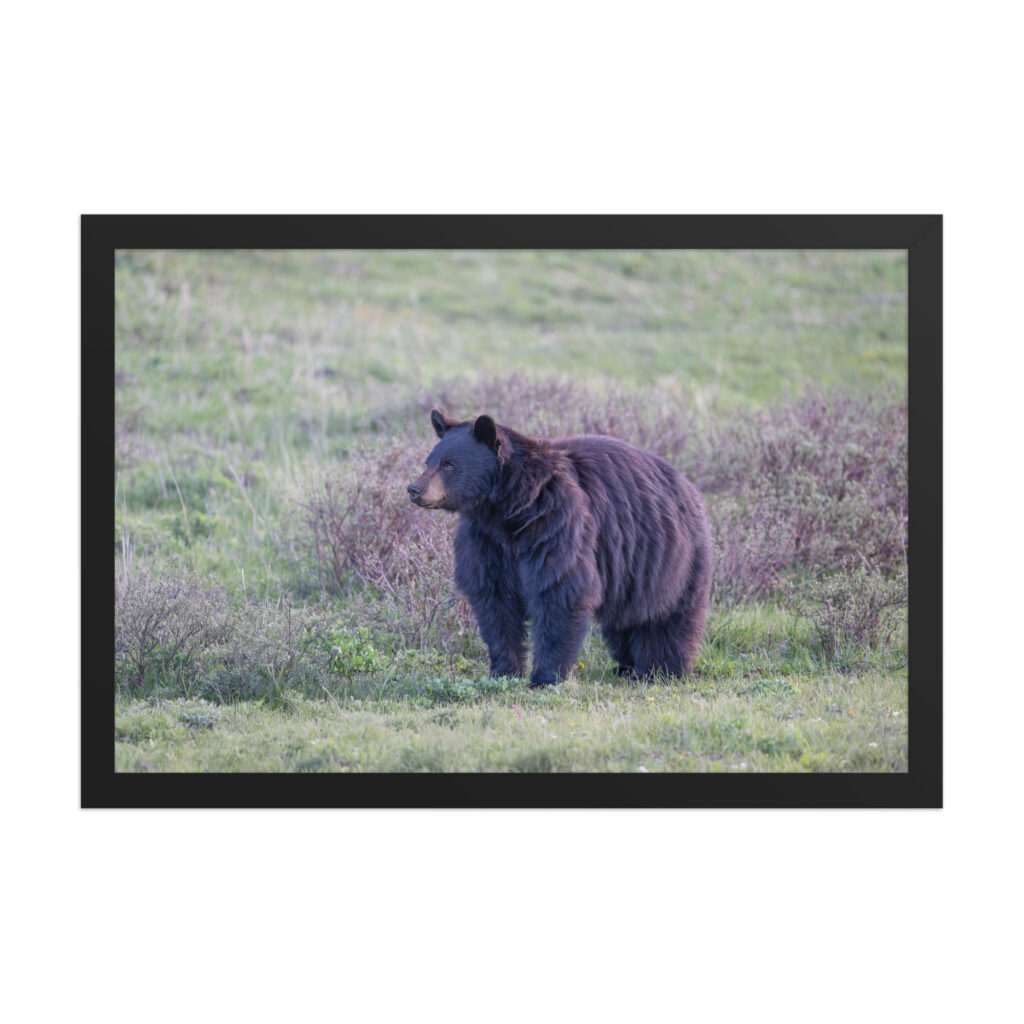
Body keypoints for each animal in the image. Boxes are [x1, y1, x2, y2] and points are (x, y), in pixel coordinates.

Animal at [407, 408, 712, 688]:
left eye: (449, 465)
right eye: (428, 461)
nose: (414, 488)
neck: (509, 511)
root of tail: (688, 486)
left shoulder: (556, 523)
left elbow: (560, 590)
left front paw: (544, 677)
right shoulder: (486, 541)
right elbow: (495, 601)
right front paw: (504, 671)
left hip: (671, 557)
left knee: (668, 617)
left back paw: (661, 669)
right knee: (625, 620)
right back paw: (626, 667)